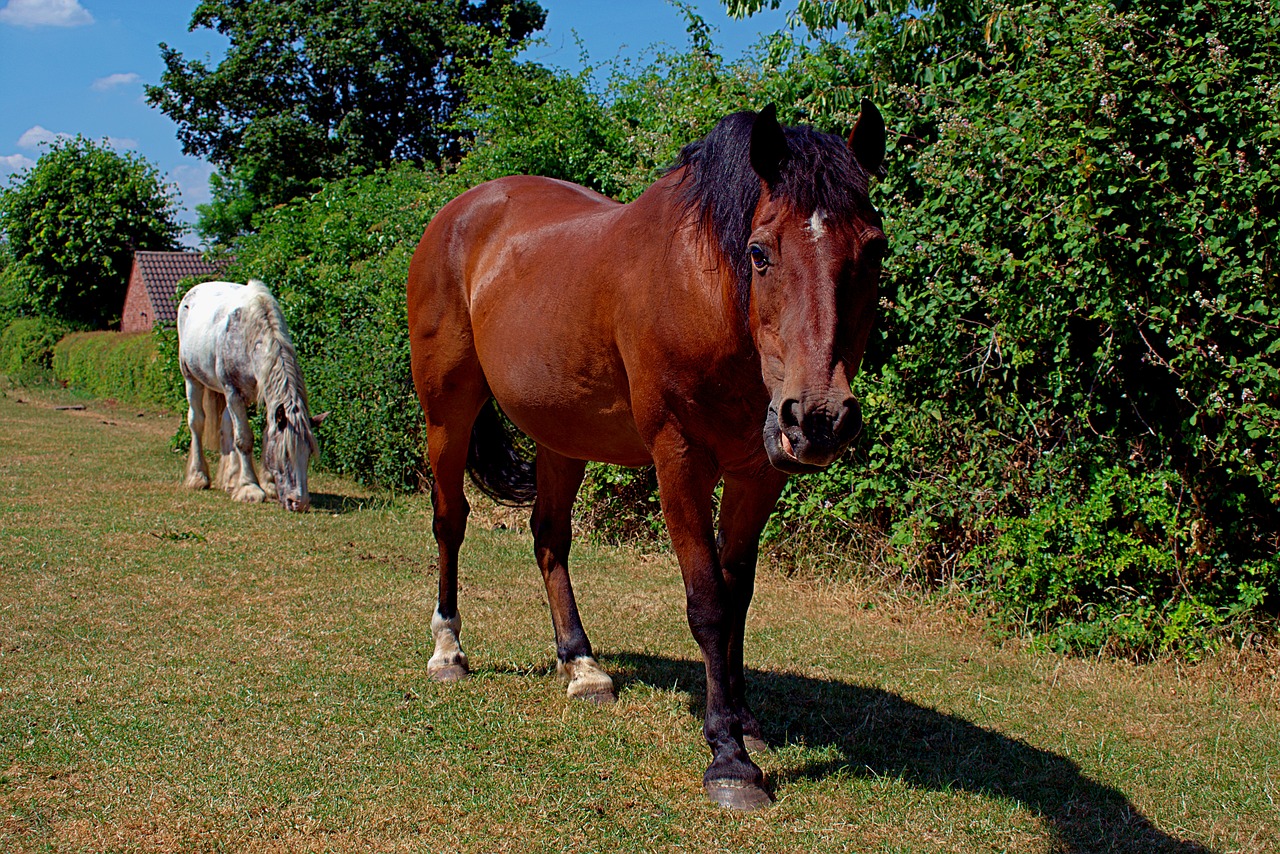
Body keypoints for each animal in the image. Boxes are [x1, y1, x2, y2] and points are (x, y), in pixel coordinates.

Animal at [177, 280, 322, 512]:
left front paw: (268, 485)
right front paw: (249, 488)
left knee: (226, 425)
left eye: (308, 454)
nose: (299, 503)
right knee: (197, 422)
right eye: (286, 454)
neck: (251, 335)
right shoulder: (233, 391)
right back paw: (198, 477)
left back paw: (230, 480)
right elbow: (244, 439)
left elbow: (263, 435)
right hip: (192, 378)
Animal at [404, 100, 885, 809]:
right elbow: (708, 604)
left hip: (561, 435)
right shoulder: (679, 460)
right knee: (450, 522)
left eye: (875, 250)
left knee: (549, 537)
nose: (819, 419)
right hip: (448, 411)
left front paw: (745, 721)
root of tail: (459, 213)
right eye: (760, 253)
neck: (707, 294)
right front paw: (730, 758)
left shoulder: (757, 473)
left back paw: (582, 666)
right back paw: (447, 651)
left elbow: (737, 599)